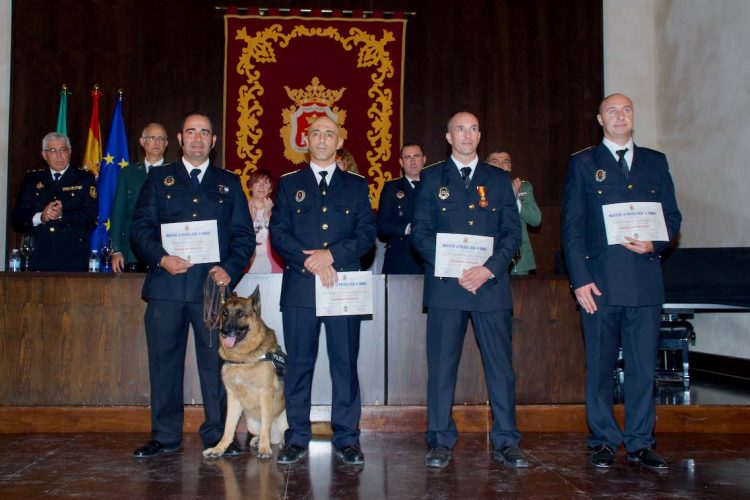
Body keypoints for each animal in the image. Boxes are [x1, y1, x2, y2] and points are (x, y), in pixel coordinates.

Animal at [203, 288, 288, 458]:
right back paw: (258, 440)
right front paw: (219, 448)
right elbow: (228, 427)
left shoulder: (266, 393)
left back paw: (279, 442)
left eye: (240, 314)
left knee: (275, 432)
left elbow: (265, 426)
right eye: (225, 313)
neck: (242, 359)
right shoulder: (233, 397)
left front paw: (264, 449)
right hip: (251, 423)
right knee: (268, 435)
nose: (225, 331)